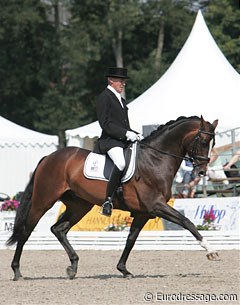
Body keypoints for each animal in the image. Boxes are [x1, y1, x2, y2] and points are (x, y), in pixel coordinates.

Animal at [7, 115, 218, 280]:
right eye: (203, 141)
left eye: (213, 143)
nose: (201, 171)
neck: (155, 160)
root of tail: (48, 157)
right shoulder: (155, 205)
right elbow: (187, 221)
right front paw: (211, 251)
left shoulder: (143, 213)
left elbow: (131, 239)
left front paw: (123, 269)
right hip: (43, 201)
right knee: (26, 232)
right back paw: (17, 272)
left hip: (79, 205)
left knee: (58, 229)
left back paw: (73, 267)